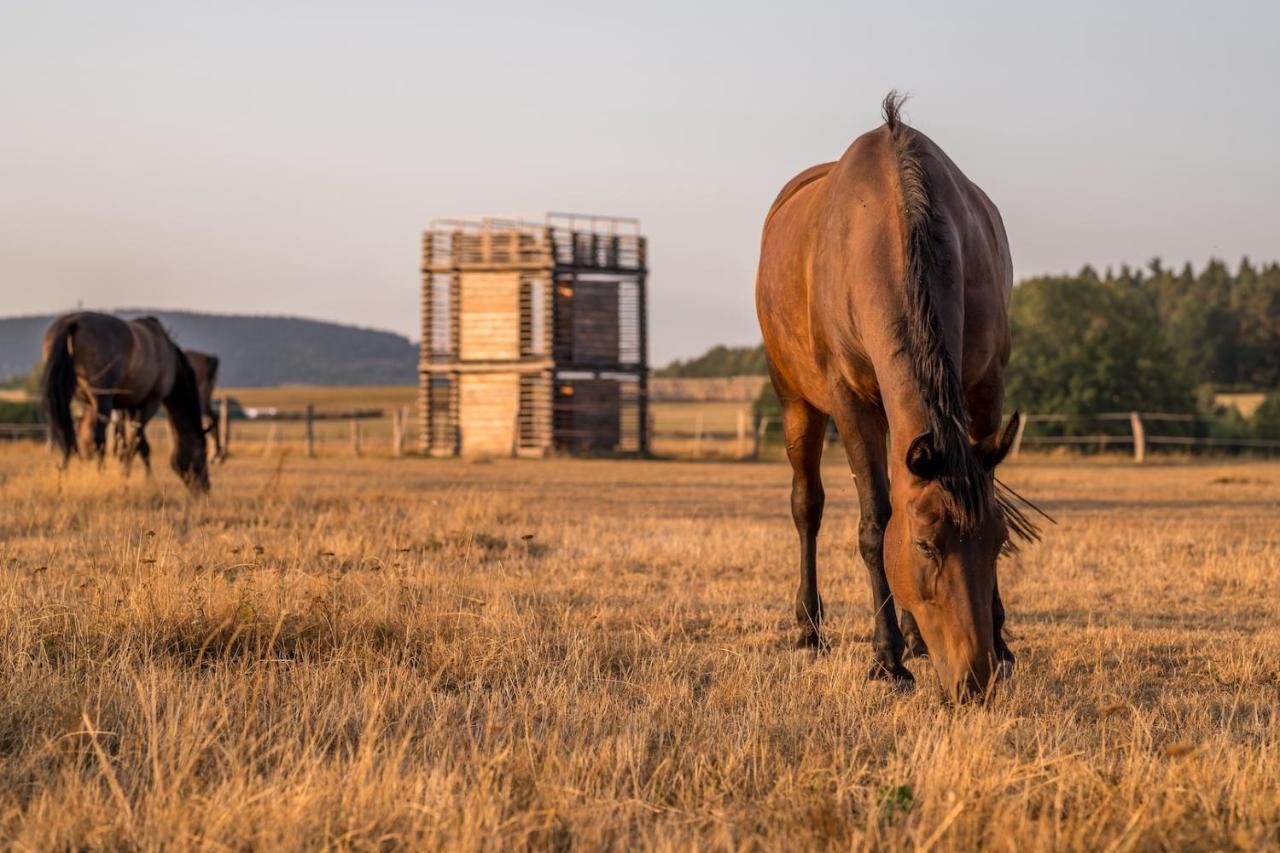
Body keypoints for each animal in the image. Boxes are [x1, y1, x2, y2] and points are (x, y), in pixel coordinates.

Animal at [41, 311, 209, 491]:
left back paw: (64, 477)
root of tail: (73, 322)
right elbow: (136, 442)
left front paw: (135, 474)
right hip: (102, 401)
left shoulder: (129, 407)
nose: (206, 487)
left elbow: (134, 443)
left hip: (68, 399)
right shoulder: (149, 403)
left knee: (70, 437)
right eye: (203, 453)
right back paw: (100, 475)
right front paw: (138, 478)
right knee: (98, 439)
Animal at [752, 96, 1034, 701]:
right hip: (796, 402)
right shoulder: (849, 403)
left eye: (998, 541)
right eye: (926, 546)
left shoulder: (985, 387)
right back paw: (809, 632)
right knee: (807, 505)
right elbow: (875, 523)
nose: (975, 680)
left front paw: (1000, 643)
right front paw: (887, 660)